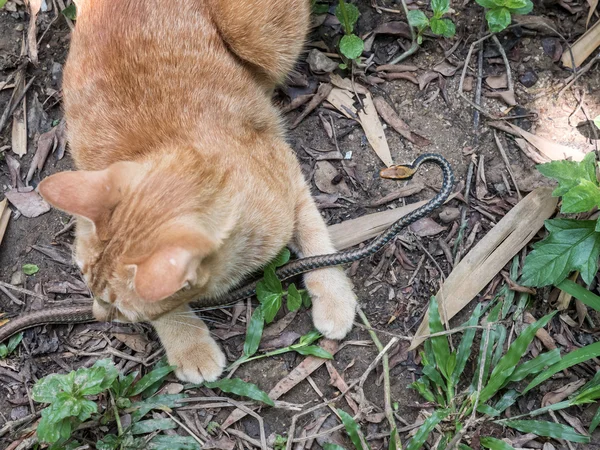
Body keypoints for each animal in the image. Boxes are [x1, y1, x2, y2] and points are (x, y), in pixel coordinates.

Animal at [37, 0, 356, 384]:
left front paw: (334, 297)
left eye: (118, 308)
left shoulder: (287, 172)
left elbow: (314, 237)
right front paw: (189, 345)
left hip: (263, 37)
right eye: (87, 285)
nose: (98, 316)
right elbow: (164, 308)